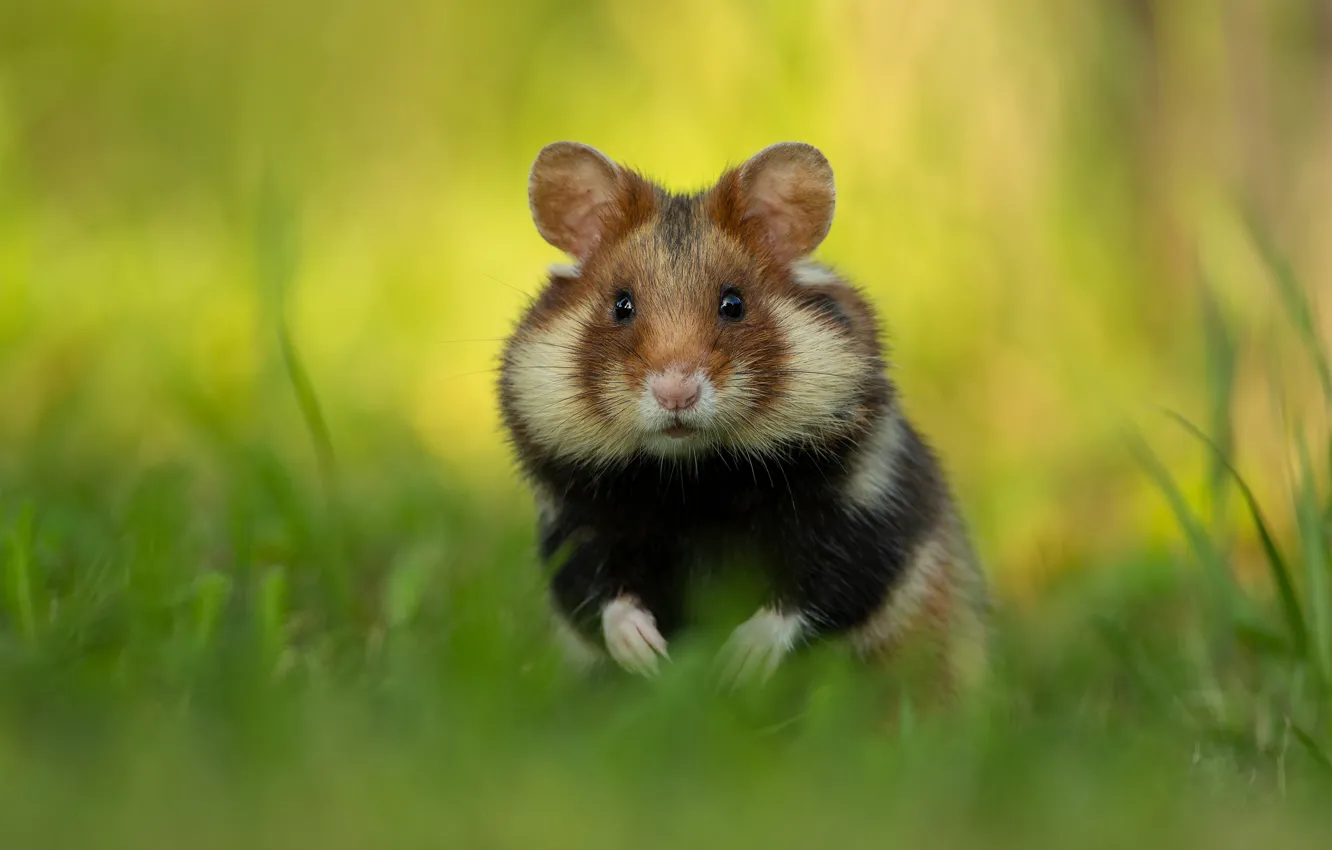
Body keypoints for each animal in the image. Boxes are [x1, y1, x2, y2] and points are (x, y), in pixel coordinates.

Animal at [498, 141, 989, 698]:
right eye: (621, 305)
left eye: (733, 303)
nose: (676, 393)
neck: (693, 479)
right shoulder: (572, 519)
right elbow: (594, 592)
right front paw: (649, 655)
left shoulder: (866, 507)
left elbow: (819, 591)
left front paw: (737, 664)